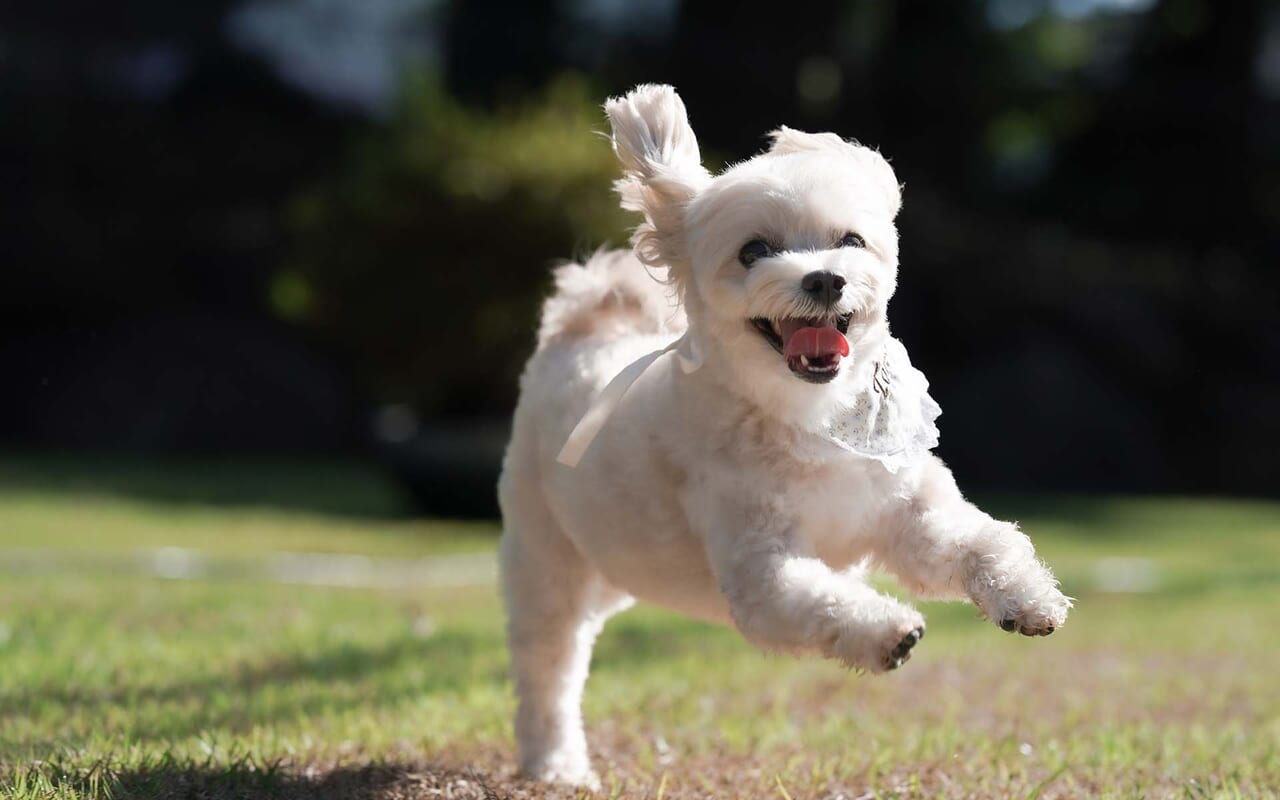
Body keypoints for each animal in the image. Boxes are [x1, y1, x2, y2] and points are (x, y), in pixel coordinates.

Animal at [499, 84, 1070, 783]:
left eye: (851, 240)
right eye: (754, 251)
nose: (824, 277)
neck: (808, 419)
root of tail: (587, 324)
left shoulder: (905, 509)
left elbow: (977, 543)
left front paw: (1025, 597)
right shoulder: (760, 569)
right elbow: (814, 598)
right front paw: (887, 632)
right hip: (546, 559)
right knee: (549, 668)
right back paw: (554, 762)